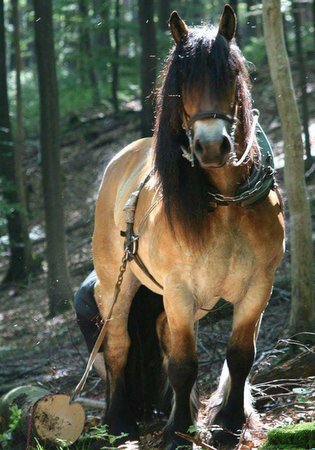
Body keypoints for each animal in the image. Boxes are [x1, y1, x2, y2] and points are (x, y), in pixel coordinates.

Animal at [92, 4, 286, 450]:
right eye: (181, 84)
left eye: (231, 75)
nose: (212, 147)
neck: (227, 207)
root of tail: (118, 161)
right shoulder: (179, 290)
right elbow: (184, 363)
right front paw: (179, 432)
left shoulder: (259, 286)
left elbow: (240, 356)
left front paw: (228, 424)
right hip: (118, 283)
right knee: (118, 344)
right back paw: (120, 420)